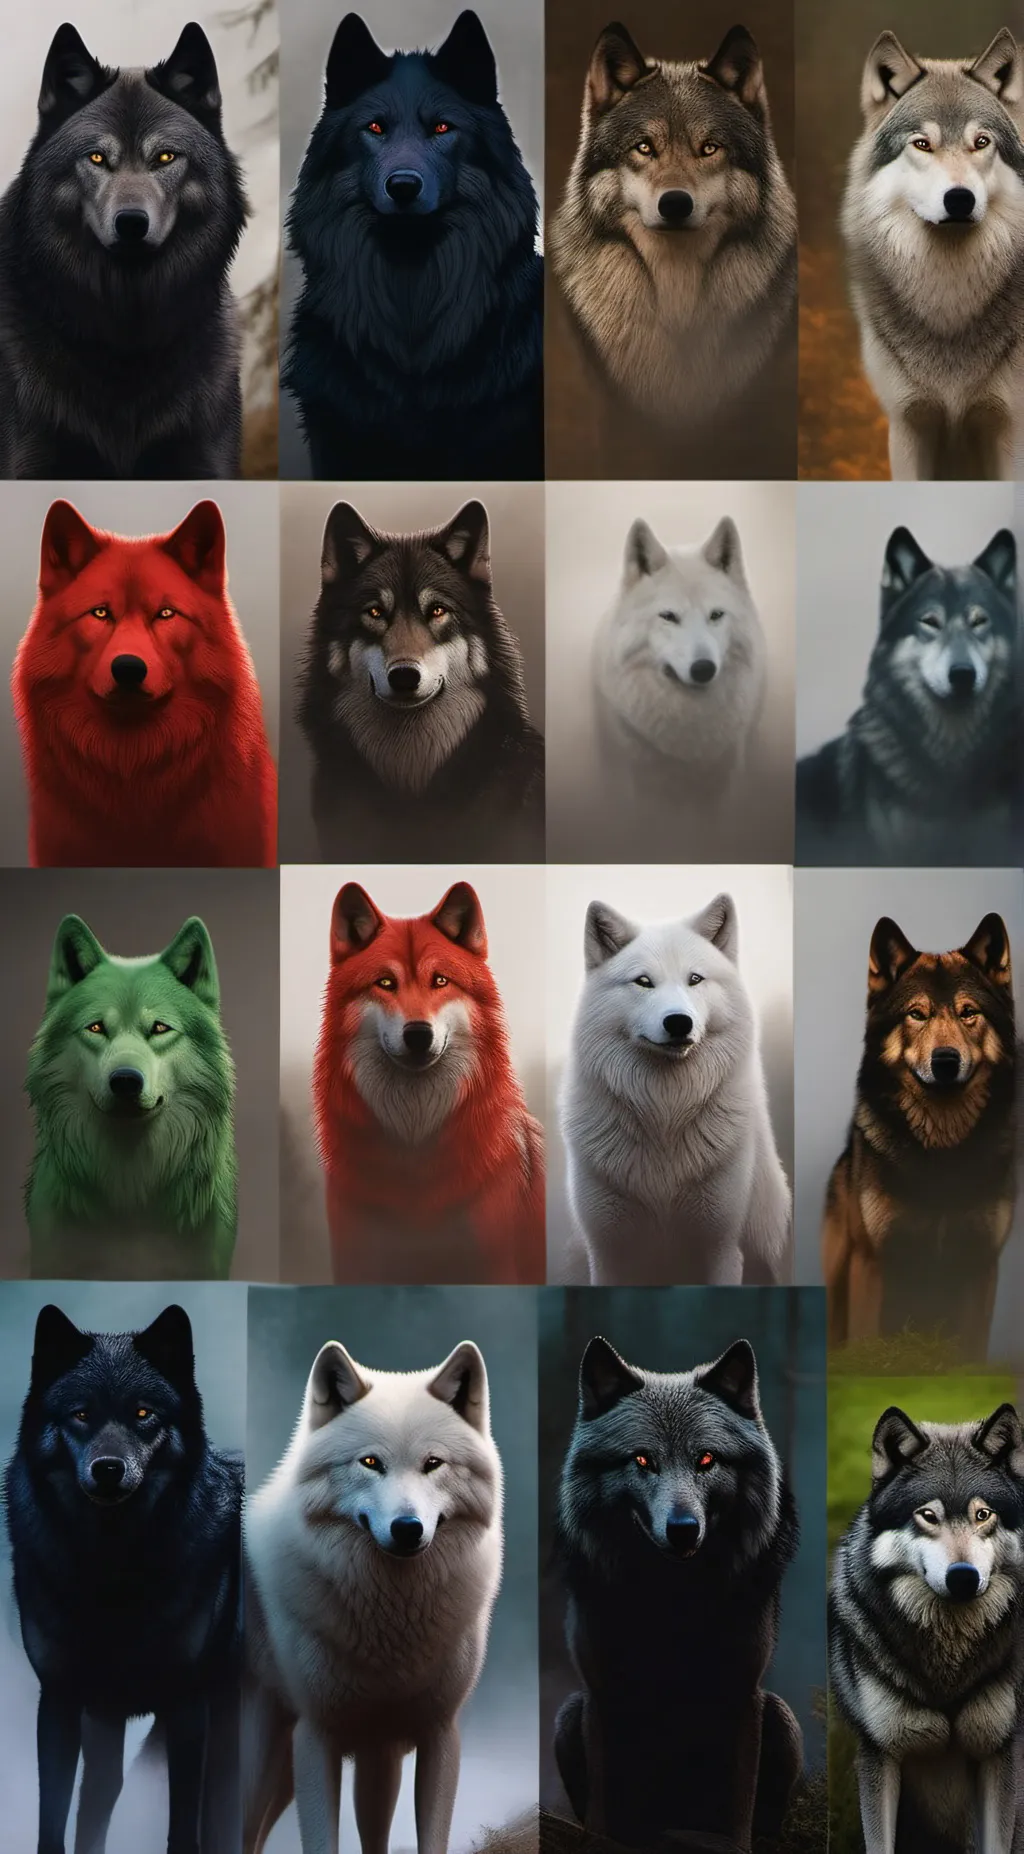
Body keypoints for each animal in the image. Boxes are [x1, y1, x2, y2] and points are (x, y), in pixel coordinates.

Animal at [5, 1302, 243, 1854]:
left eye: (142, 1414)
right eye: (81, 1414)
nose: (108, 1469)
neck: (111, 1570)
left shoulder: (187, 1703)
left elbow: (182, 1826)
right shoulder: (63, 1700)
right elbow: (55, 1821)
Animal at [243, 1337, 503, 1854]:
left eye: (432, 1463)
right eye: (370, 1463)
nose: (407, 1528)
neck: (392, 1624)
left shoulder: (424, 1739)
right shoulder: (316, 1739)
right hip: (261, 1765)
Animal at [554, 1335, 802, 1850]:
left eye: (706, 1460)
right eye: (642, 1460)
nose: (684, 1528)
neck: (671, 1603)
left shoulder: (742, 1693)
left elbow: (737, 1810)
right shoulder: (602, 1693)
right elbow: (603, 1807)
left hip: (780, 1717)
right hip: (568, 1715)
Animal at [559, 893, 791, 1285]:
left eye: (694, 979)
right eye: (643, 982)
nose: (679, 1022)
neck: (665, 1114)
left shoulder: (722, 1248)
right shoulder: (607, 1252)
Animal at [822, 913, 1017, 1354]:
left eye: (968, 1012)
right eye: (917, 1014)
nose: (946, 1061)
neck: (942, 1154)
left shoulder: (982, 1262)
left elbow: (971, 1351)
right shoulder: (872, 1261)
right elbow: (866, 1340)